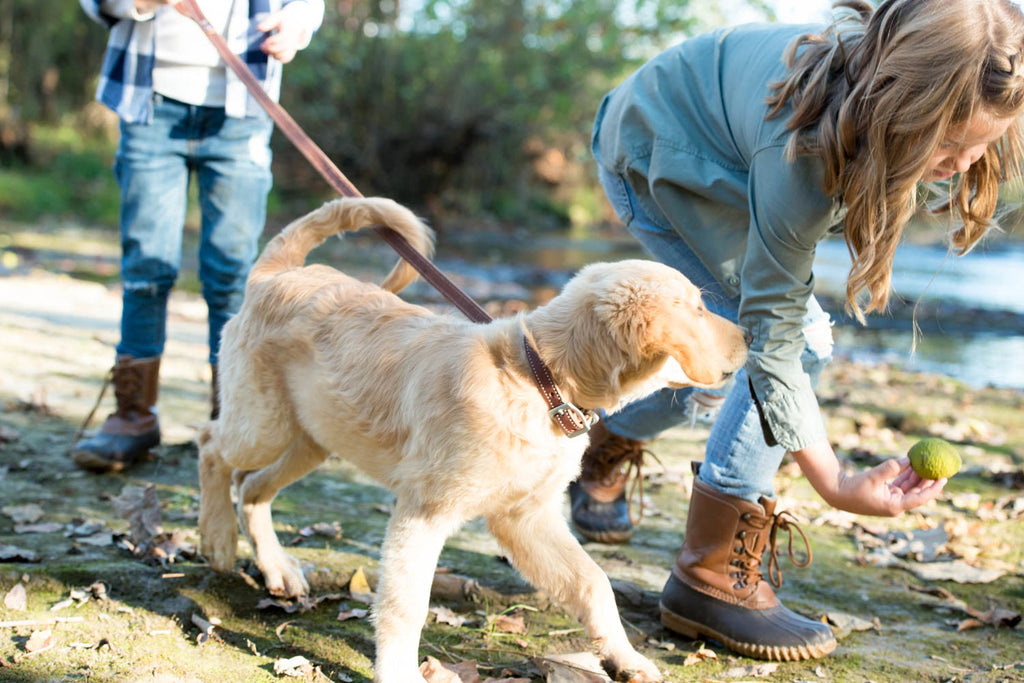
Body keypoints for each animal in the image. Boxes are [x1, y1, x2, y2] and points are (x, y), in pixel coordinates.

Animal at [197, 194, 745, 679]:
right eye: (699, 310)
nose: (750, 336)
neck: (540, 382)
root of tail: (278, 271)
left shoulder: (523, 518)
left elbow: (594, 581)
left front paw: (625, 659)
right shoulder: (424, 513)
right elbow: (405, 606)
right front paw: (399, 674)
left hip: (314, 438)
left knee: (252, 486)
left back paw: (275, 566)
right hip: (263, 425)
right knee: (211, 446)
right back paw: (217, 539)